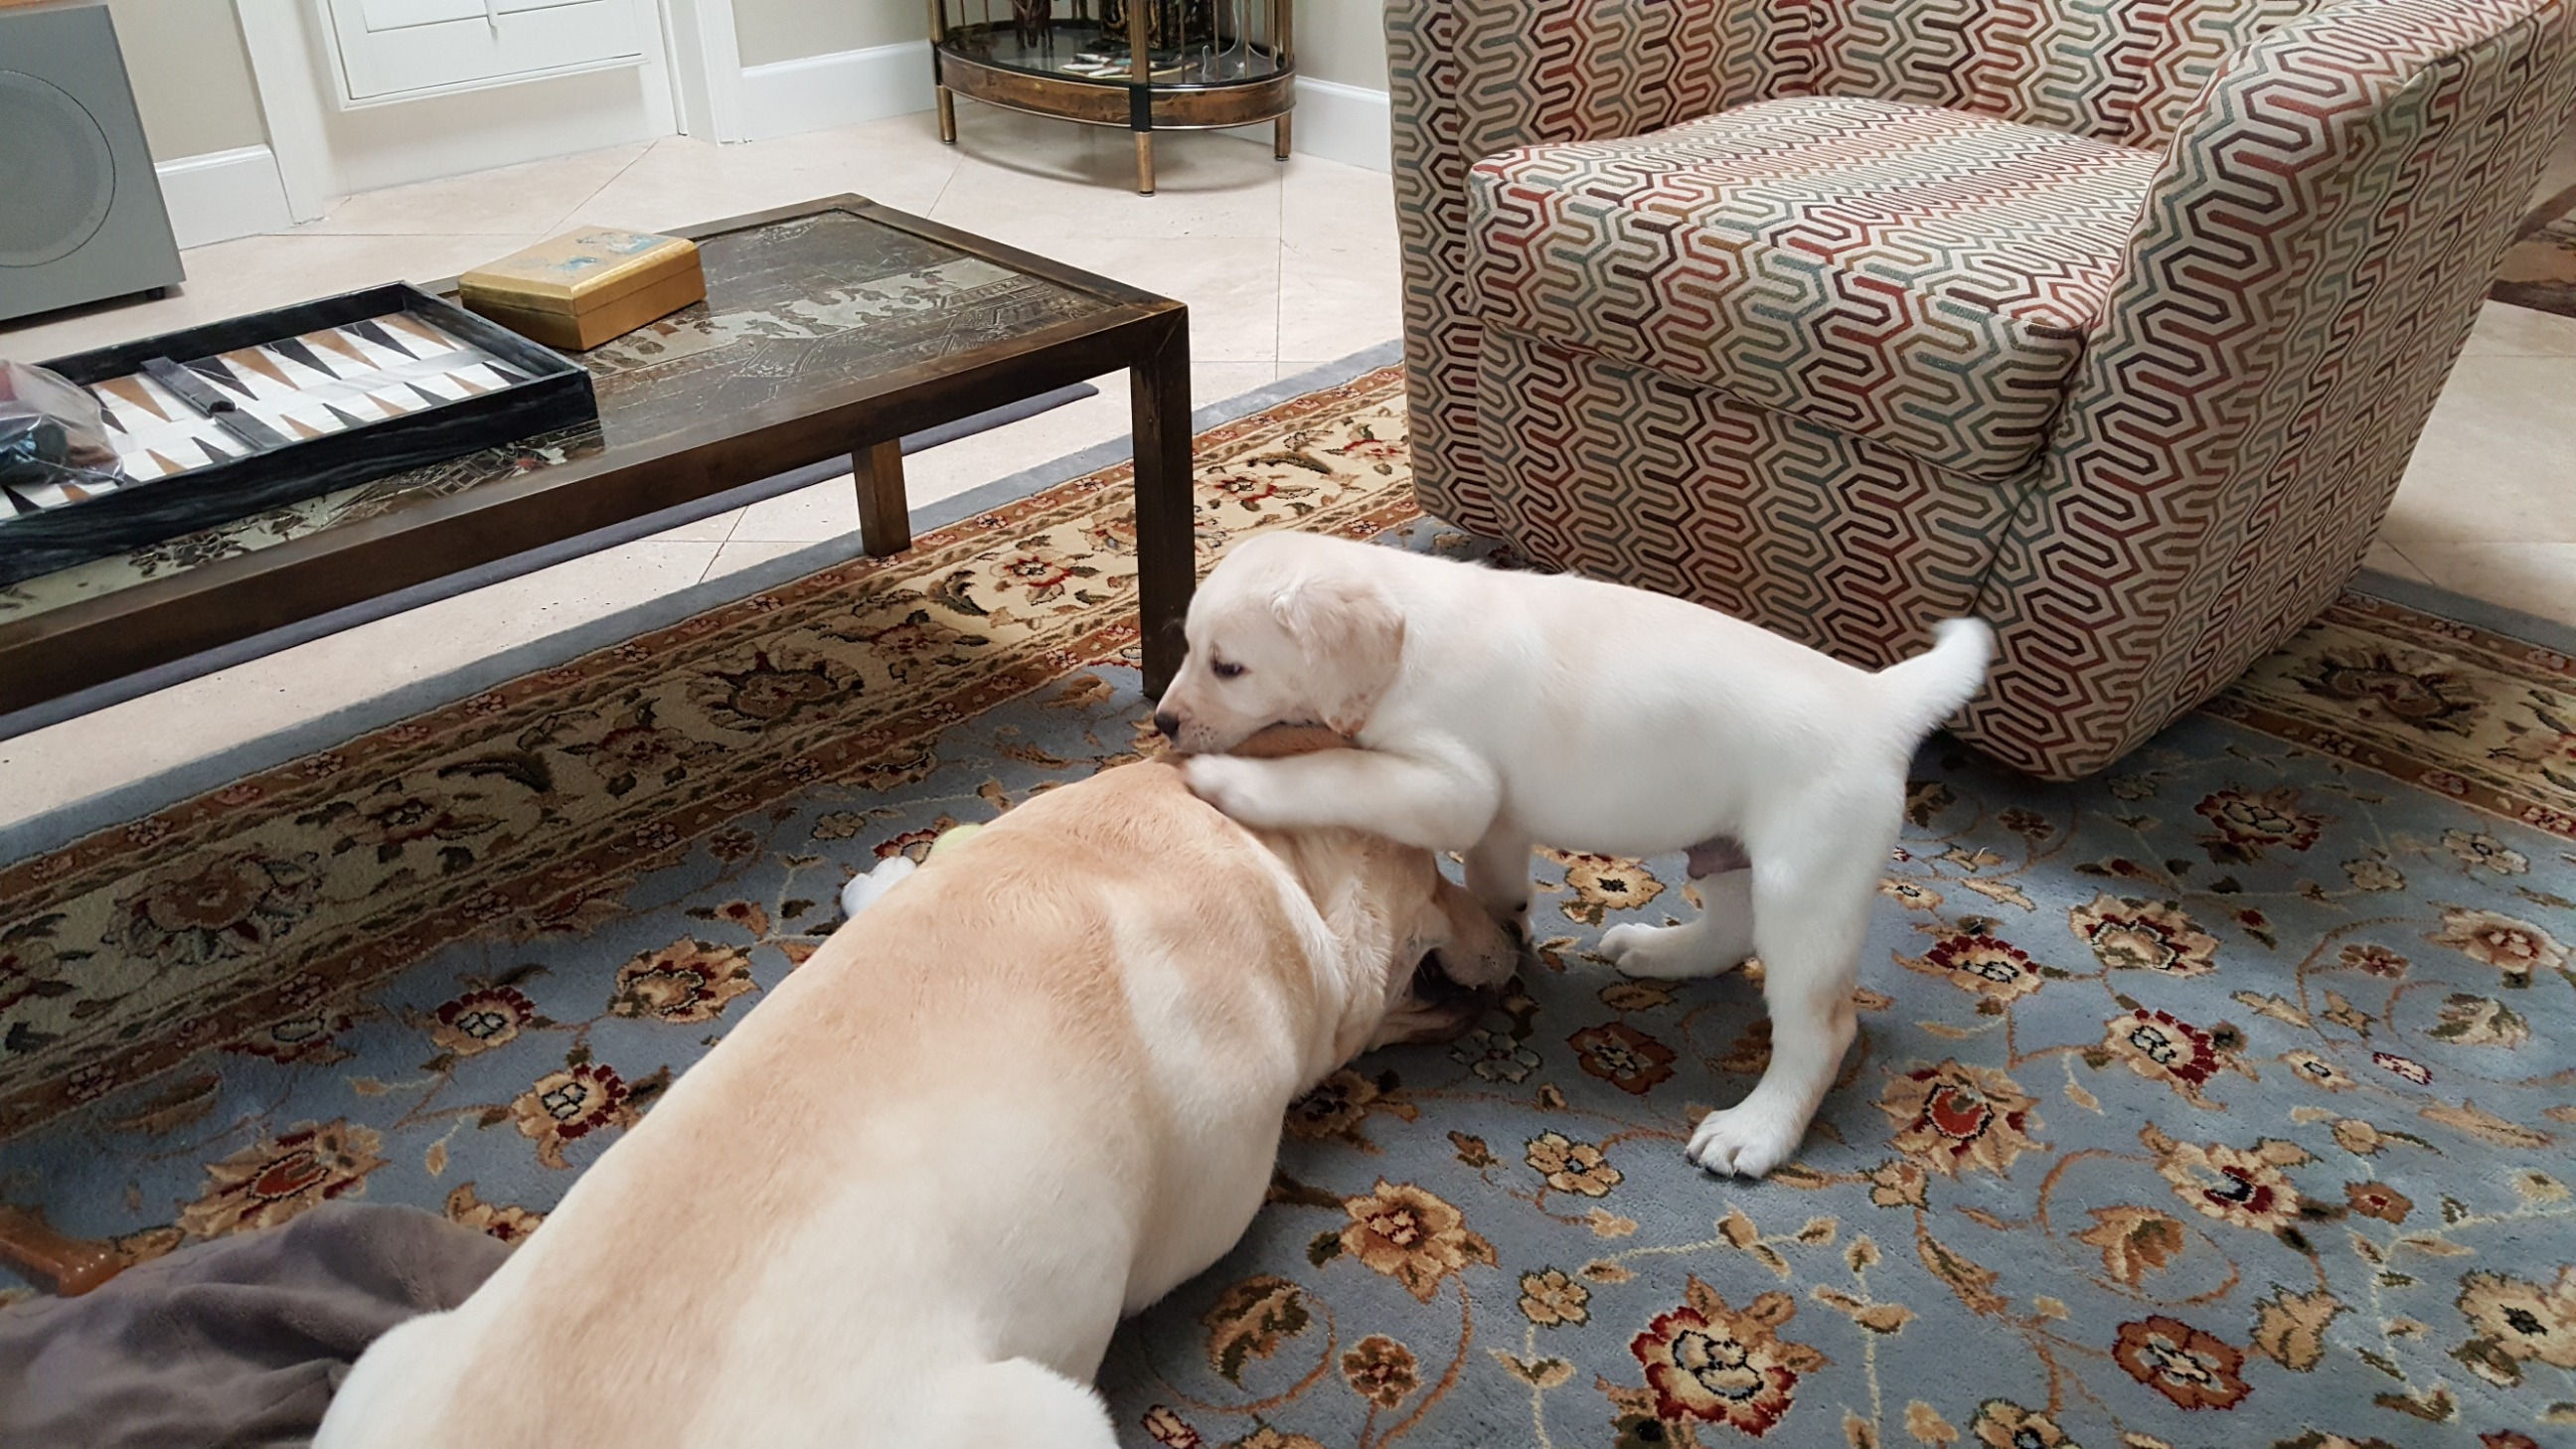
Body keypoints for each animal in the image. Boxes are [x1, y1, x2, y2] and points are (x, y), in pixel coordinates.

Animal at [1154, 530, 1993, 1179]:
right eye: (1189, 649)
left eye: (1228, 666)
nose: (1162, 723)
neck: (1409, 637)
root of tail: (1881, 703)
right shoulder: (1494, 816)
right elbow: (1493, 878)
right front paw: (1505, 932)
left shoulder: (1452, 786)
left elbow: (1334, 774)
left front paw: (1234, 782)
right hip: (1724, 842)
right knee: (1730, 931)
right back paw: (1659, 952)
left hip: (1807, 883)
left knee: (1819, 1028)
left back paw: (1756, 1131)